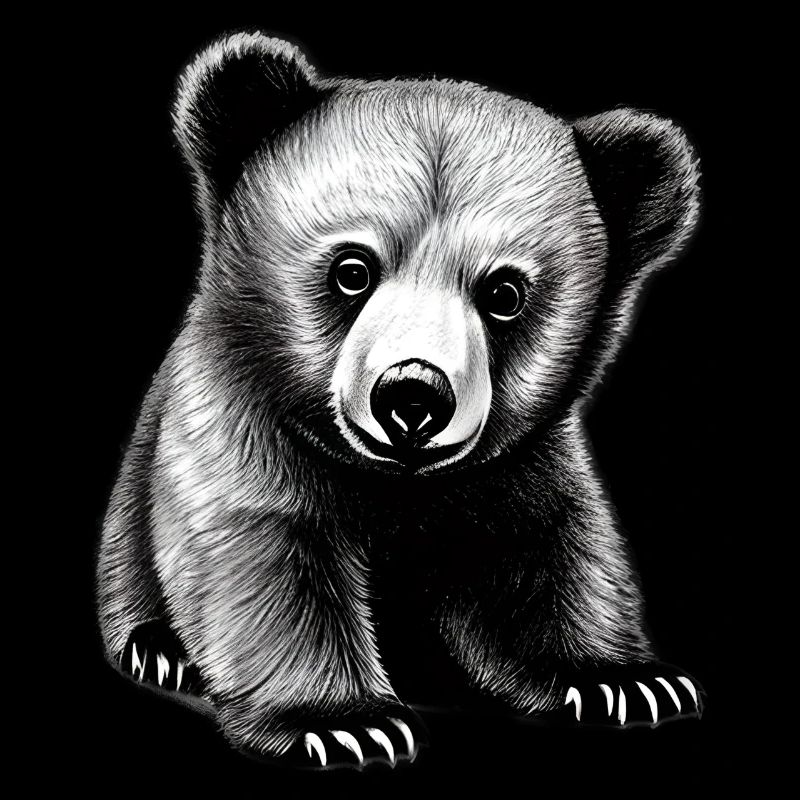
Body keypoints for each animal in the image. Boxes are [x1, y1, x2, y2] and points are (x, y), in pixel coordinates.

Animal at [96, 31, 704, 770]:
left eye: (504, 293)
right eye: (352, 270)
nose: (413, 396)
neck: (400, 485)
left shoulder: (518, 469)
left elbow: (548, 553)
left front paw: (624, 679)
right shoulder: (243, 424)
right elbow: (267, 556)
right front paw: (343, 723)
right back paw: (160, 650)